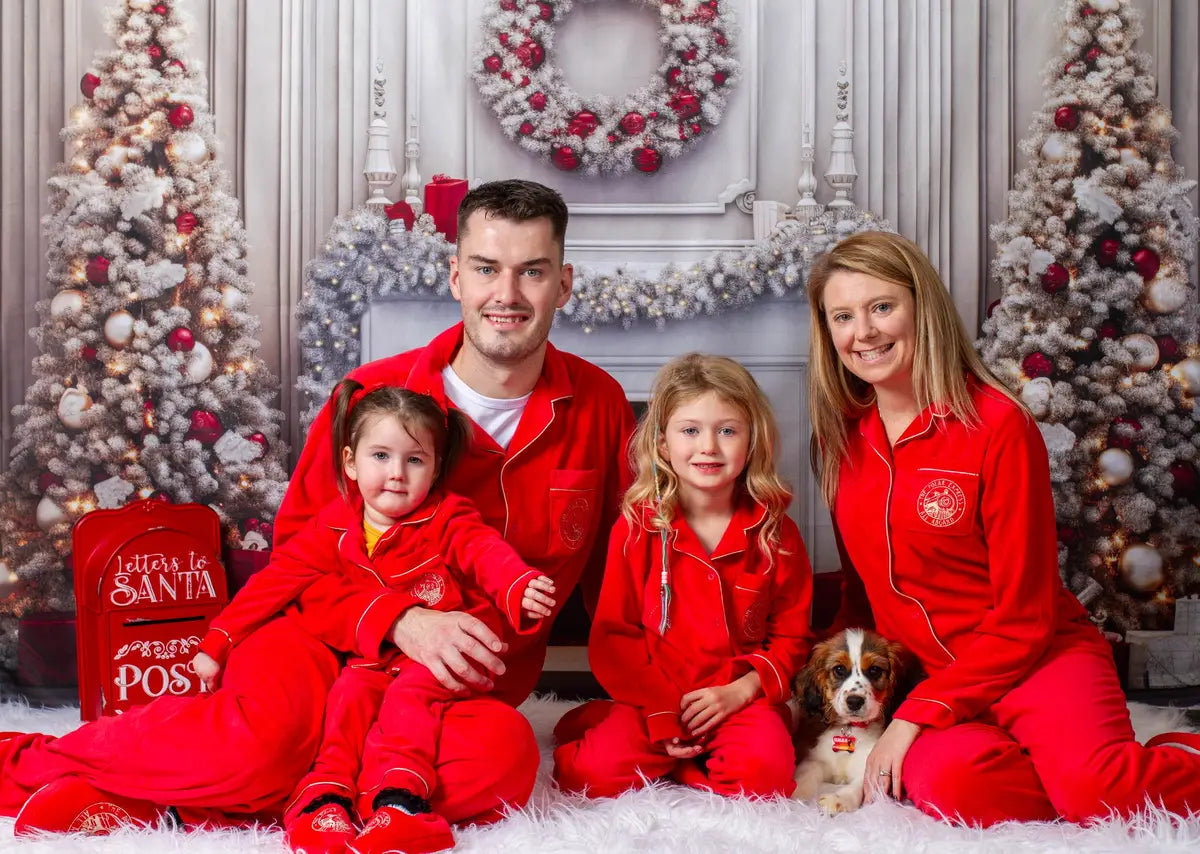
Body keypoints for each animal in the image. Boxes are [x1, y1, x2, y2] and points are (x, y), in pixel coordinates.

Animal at [787, 628, 916, 815]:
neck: (850, 729)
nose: (854, 701)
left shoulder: (869, 765)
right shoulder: (816, 758)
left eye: (874, 670)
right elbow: (806, 772)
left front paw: (837, 799)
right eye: (839, 669)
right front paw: (795, 794)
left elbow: (861, 785)